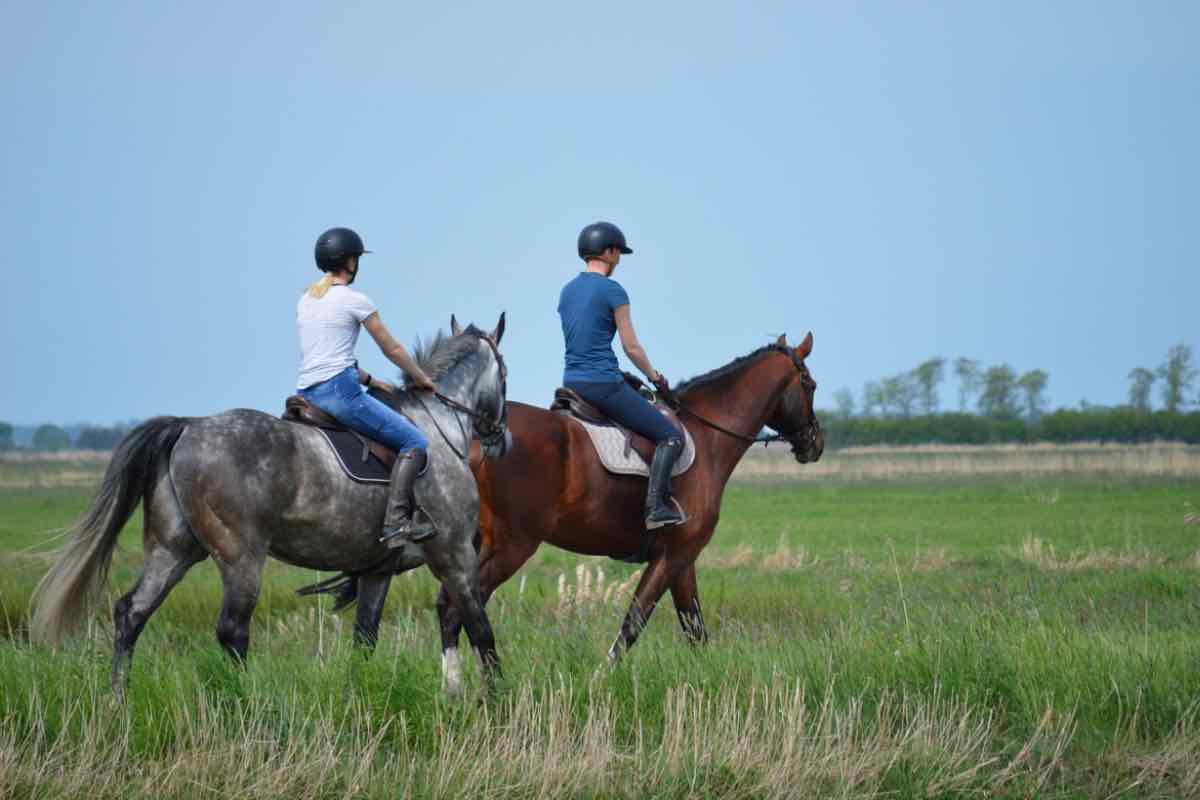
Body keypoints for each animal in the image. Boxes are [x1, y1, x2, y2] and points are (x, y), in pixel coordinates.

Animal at [28, 314, 506, 695]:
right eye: (504, 372)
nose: (500, 439)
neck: (437, 427)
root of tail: (188, 427)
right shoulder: (454, 556)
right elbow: (480, 627)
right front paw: (496, 699)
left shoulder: (377, 572)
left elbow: (365, 641)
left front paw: (359, 696)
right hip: (241, 557)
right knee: (232, 631)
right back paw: (250, 701)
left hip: (173, 550)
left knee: (132, 613)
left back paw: (118, 698)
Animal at [434, 331, 825, 690]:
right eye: (811, 385)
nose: (815, 444)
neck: (707, 438)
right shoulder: (673, 555)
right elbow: (635, 621)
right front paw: (600, 680)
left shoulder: (682, 561)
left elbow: (694, 627)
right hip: (512, 546)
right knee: (463, 611)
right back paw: (492, 689)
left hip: (472, 545)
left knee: (448, 607)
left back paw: (454, 688)